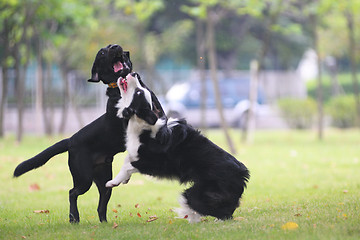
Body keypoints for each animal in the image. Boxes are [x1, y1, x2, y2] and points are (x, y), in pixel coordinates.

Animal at [13, 43, 132, 223]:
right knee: (72, 192)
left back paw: (104, 222)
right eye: (102, 52)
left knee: (101, 204)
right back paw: (73, 217)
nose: (116, 47)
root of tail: (70, 140)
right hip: (84, 178)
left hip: (104, 179)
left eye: (113, 46)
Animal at [105, 73, 249, 223]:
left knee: (206, 207)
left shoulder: (152, 163)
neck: (142, 124)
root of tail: (242, 174)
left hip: (198, 193)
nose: (134, 74)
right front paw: (124, 180)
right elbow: (128, 159)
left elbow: (127, 165)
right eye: (142, 89)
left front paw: (112, 182)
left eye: (138, 92)